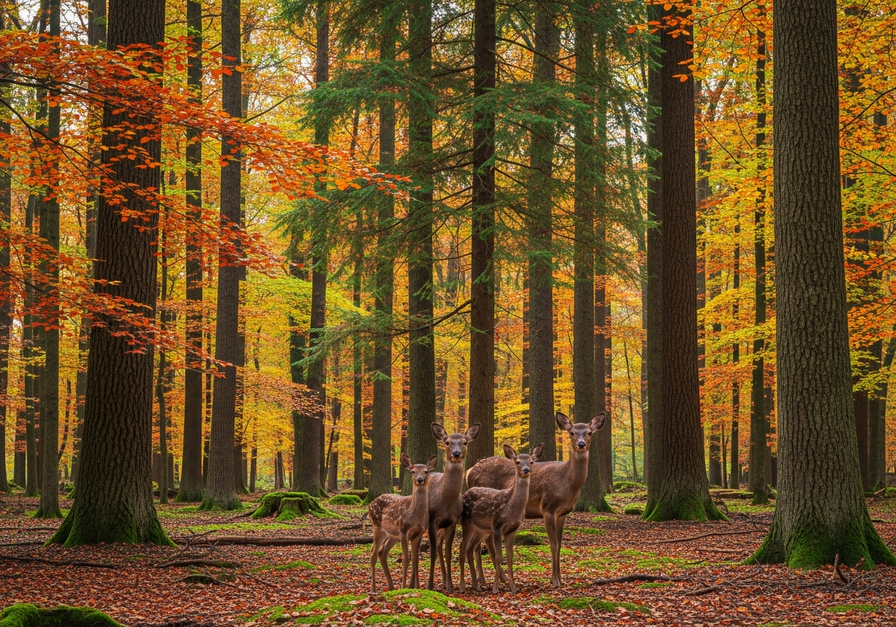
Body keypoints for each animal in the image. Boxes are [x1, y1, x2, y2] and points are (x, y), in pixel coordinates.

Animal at [368, 453, 438, 593]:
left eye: (426, 471)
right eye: (413, 471)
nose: (420, 479)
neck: (414, 515)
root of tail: (369, 504)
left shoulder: (419, 533)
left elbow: (416, 559)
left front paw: (416, 587)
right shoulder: (404, 530)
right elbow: (406, 559)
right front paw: (403, 586)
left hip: (392, 535)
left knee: (382, 552)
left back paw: (391, 587)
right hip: (377, 527)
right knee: (373, 553)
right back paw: (373, 589)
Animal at [426, 421, 480, 592]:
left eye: (465, 442)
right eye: (447, 442)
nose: (456, 453)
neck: (446, 502)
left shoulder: (452, 522)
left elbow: (447, 552)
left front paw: (450, 585)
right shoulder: (432, 521)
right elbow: (432, 552)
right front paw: (430, 585)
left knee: (440, 545)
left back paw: (444, 581)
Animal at [458, 444, 543, 593]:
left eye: (531, 461)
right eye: (517, 462)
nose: (526, 470)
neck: (511, 507)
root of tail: (465, 493)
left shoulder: (512, 530)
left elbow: (509, 557)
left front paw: (513, 587)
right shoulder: (497, 526)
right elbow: (498, 557)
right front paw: (496, 588)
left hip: (481, 529)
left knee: (470, 548)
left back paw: (476, 585)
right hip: (467, 523)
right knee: (462, 548)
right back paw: (463, 586)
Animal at [465, 412, 605, 588]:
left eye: (589, 432)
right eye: (572, 432)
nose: (581, 444)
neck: (567, 482)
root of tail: (469, 472)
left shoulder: (563, 513)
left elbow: (560, 544)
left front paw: (561, 579)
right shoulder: (548, 508)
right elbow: (553, 545)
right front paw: (554, 581)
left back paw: (483, 580)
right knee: (487, 541)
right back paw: (498, 580)